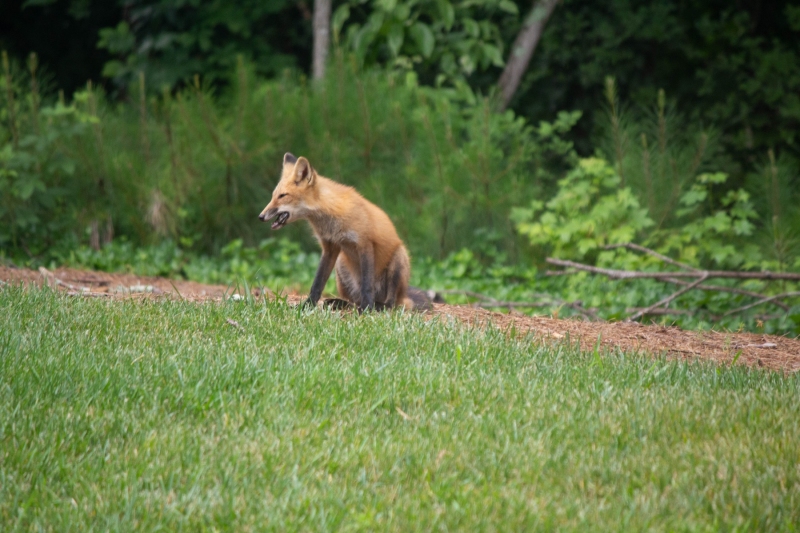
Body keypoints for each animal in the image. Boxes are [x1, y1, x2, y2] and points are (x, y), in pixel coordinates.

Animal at [258, 153, 432, 312]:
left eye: (282, 196)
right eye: (273, 196)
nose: (260, 216)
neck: (331, 216)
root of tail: (404, 296)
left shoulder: (365, 244)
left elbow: (366, 285)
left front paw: (366, 309)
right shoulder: (330, 247)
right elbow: (317, 284)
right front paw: (307, 306)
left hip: (398, 259)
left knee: (391, 303)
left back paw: (377, 306)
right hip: (341, 263)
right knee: (353, 300)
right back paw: (341, 303)